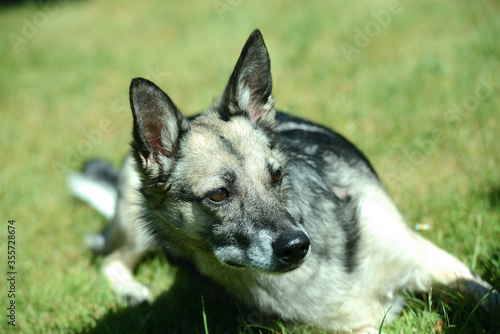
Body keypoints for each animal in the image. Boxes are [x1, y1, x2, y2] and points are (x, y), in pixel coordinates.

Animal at [68, 30, 498, 332]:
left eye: (276, 176)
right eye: (219, 195)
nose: (298, 247)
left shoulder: (434, 263)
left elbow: (488, 295)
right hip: (134, 217)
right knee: (109, 258)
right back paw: (132, 291)